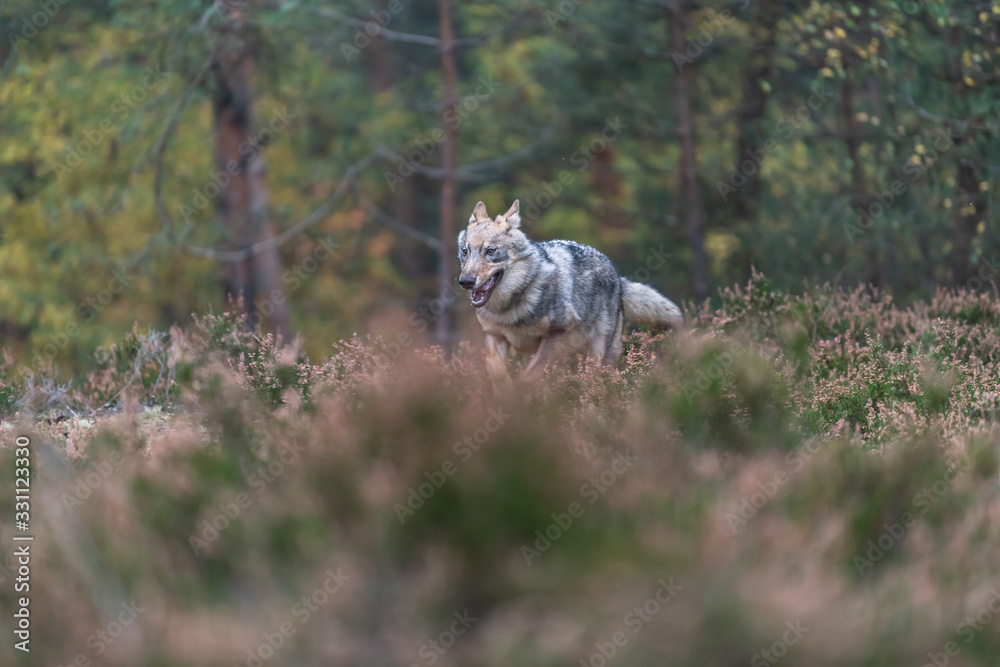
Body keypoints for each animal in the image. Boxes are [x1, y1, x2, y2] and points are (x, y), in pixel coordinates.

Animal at [457, 199, 683, 391]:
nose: (466, 281)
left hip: (598, 355)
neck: (508, 307)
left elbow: (528, 376)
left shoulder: (557, 333)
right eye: (465, 251)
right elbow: (495, 369)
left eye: (490, 251)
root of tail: (618, 277)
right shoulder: (495, 336)